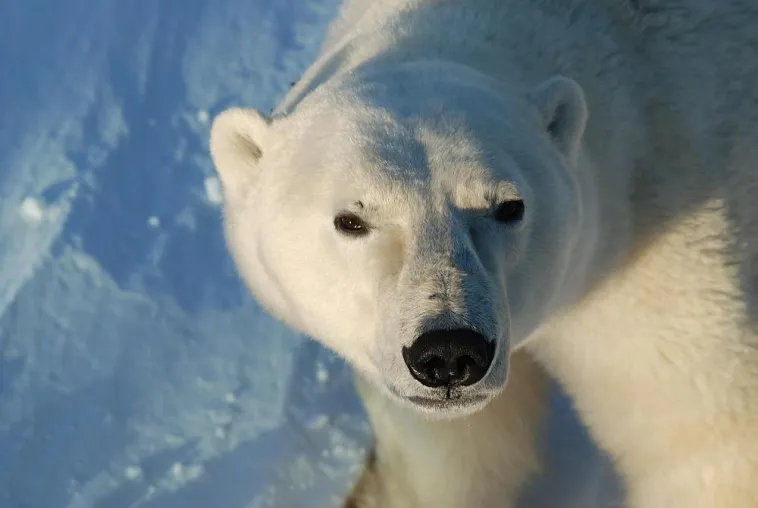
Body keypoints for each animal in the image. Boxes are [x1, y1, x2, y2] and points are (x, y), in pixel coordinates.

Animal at [209, 0, 758, 506]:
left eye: (509, 206)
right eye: (352, 220)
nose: (449, 352)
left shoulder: (663, 258)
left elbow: (709, 437)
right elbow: (456, 458)